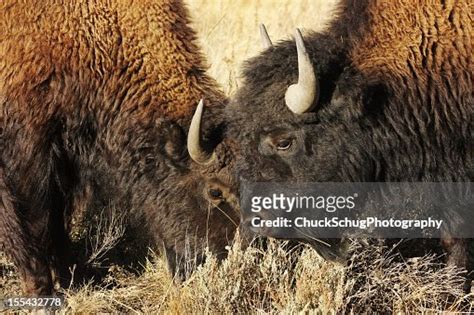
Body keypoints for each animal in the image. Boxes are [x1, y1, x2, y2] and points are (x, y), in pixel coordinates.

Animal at [0, 0, 237, 296]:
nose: (223, 262)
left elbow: (58, 222)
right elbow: (35, 223)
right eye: (214, 191)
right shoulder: (26, 152)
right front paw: (41, 290)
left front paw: (72, 280)